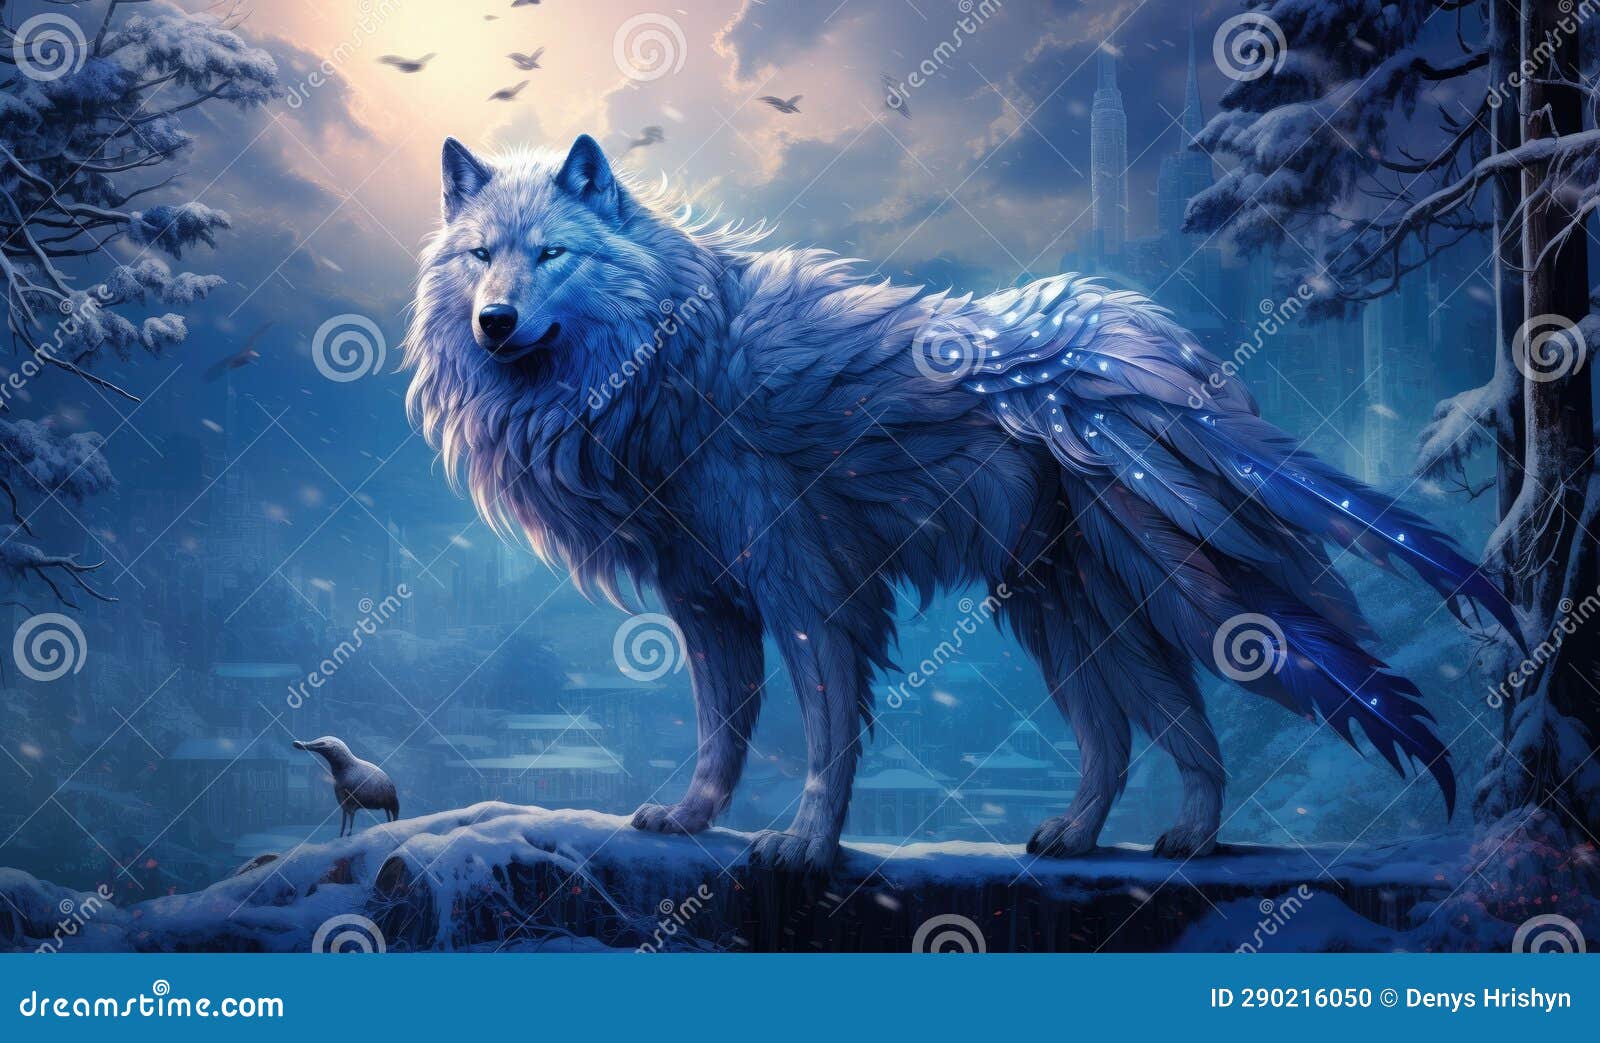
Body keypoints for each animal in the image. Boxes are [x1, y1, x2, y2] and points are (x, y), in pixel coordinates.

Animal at [403, 134, 1520, 872]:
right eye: (480, 257)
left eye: (551, 254)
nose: (494, 321)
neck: (670, 362)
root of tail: (1142, 335)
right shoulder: (707, 601)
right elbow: (722, 728)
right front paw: (691, 816)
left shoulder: (810, 593)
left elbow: (822, 732)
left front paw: (804, 844)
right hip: (1064, 611)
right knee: (1133, 734)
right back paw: (1087, 836)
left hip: (1167, 597)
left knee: (1173, 726)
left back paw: (1188, 839)